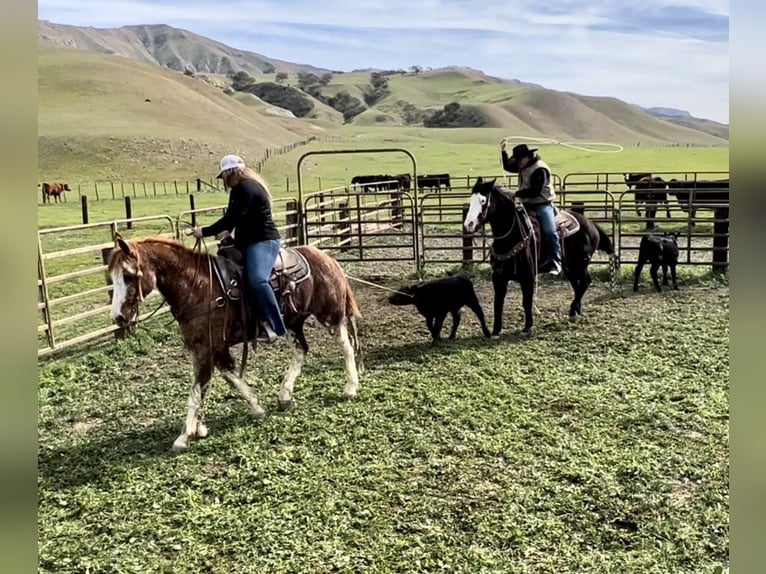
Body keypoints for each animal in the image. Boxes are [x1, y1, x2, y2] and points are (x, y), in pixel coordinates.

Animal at [107, 234, 366, 454]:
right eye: (112, 278)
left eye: (128, 276)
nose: (118, 318)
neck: (197, 287)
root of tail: (327, 258)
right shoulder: (215, 348)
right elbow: (228, 379)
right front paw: (254, 408)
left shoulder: (204, 349)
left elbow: (197, 390)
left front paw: (184, 436)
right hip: (293, 322)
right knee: (301, 351)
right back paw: (285, 395)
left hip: (330, 315)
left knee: (346, 347)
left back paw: (350, 388)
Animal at [462, 177, 616, 338]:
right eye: (471, 199)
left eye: (483, 200)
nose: (469, 224)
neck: (512, 235)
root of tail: (592, 225)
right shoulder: (498, 277)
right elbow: (498, 302)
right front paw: (496, 330)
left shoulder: (528, 276)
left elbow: (527, 301)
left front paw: (528, 327)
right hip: (569, 268)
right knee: (577, 285)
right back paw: (575, 311)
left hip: (579, 264)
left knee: (585, 282)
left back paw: (573, 310)